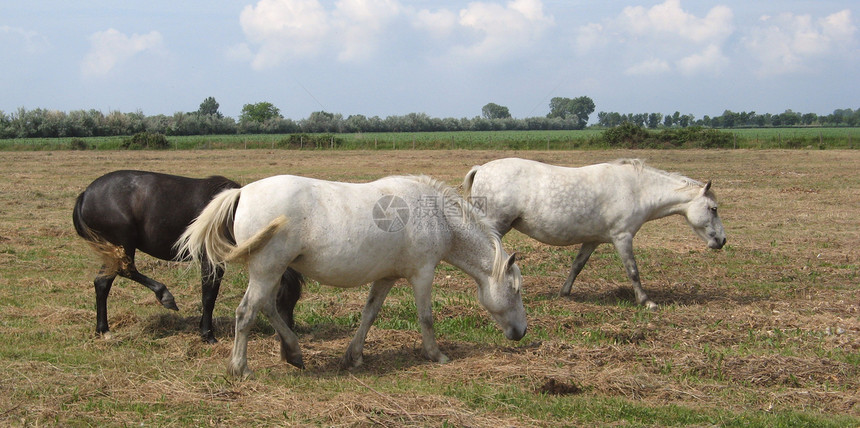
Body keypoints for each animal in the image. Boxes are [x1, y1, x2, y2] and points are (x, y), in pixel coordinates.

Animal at [74, 171, 302, 344]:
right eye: (283, 296)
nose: (289, 332)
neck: (233, 213)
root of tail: (85, 195)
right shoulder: (211, 261)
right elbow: (209, 296)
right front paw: (207, 335)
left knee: (102, 283)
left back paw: (103, 329)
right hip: (122, 246)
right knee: (125, 270)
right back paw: (164, 296)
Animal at [176, 174, 524, 378]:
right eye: (516, 290)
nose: (521, 332)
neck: (438, 217)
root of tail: (241, 193)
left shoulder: (386, 278)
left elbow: (369, 314)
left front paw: (353, 356)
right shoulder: (423, 273)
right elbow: (426, 317)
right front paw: (436, 355)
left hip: (271, 272)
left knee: (268, 308)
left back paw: (293, 353)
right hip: (266, 269)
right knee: (247, 312)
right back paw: (240, 368)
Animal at [464, 159, 724, 310]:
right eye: (713, 208)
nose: (721, 240)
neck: (636, 189)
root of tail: (481, 169)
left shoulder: (592, 241)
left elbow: (577, 266)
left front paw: (565, 292)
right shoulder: (622, 237)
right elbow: (633, 270)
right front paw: (647, 301)